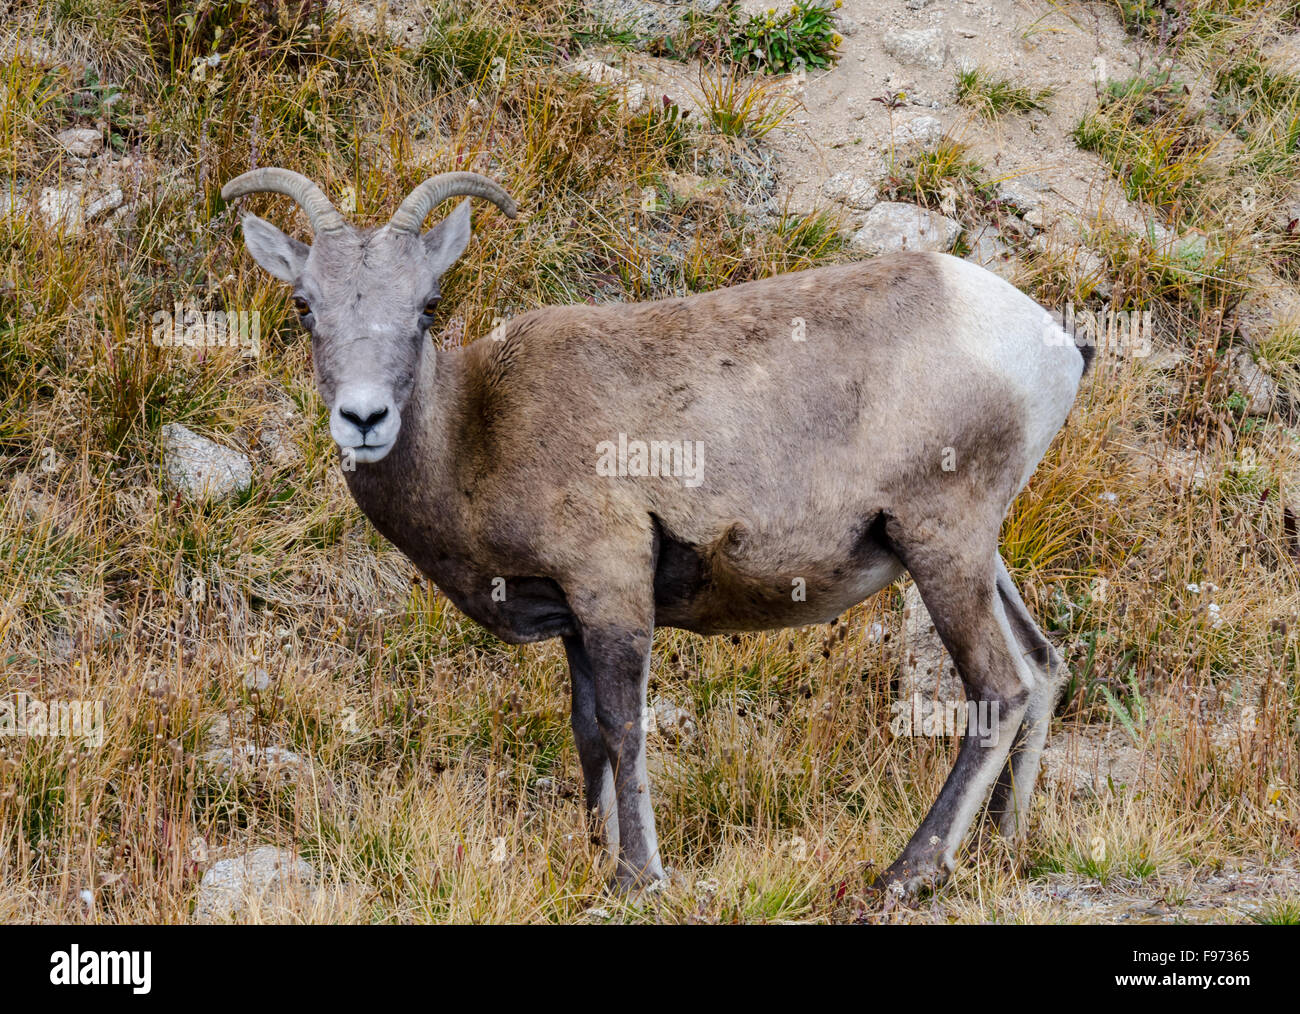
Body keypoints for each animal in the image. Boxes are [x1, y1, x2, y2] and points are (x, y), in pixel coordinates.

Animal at [228, 166, 1092, 894]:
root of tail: (1050, 344)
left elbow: (623, 729)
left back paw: (909, 873)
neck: (476, 435)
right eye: (305, 307)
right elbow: (587, 734)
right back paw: (1003, 850)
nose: (364, 418)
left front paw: (638, 878)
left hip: (942, 546)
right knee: (1044, 666)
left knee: (1000, 689)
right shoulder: (574, 620)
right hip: (975, 554)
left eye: (426, 306)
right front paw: (594, 857)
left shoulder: (611, 588)